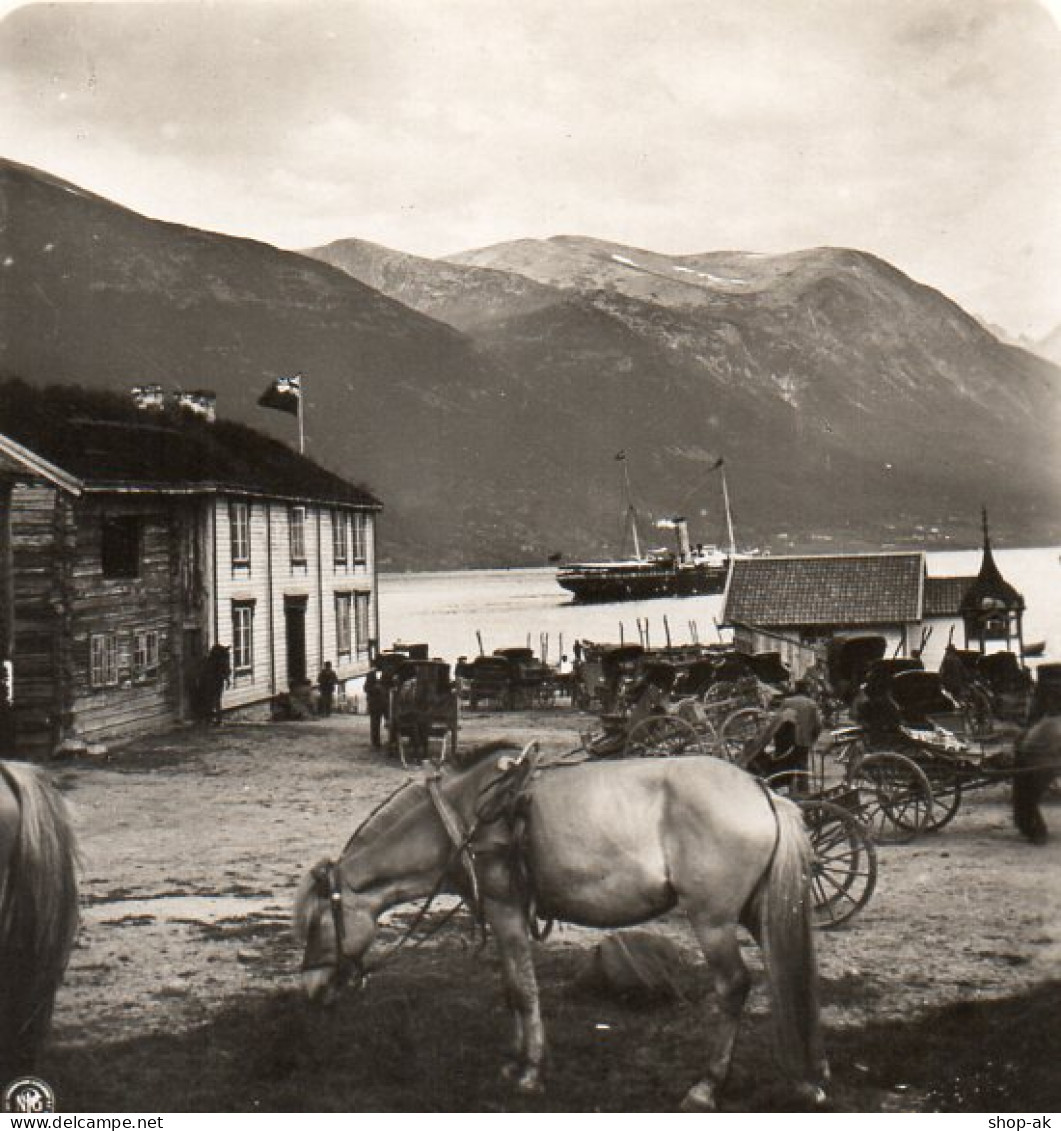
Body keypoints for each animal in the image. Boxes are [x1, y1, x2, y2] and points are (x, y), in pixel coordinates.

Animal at [296, 741, 827, 1112]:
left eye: (318, 922)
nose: (311, 990)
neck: (465, 818)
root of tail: (763, 791)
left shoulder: (507, 908)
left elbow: (523, 988)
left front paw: (531, 1070)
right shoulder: (501, 915)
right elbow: (510, 986)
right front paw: (514, 1060)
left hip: (712, 920)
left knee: (735, 987)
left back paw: (707, 1086)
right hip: (758, 910)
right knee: (789, 974)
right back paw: (808, 1075)